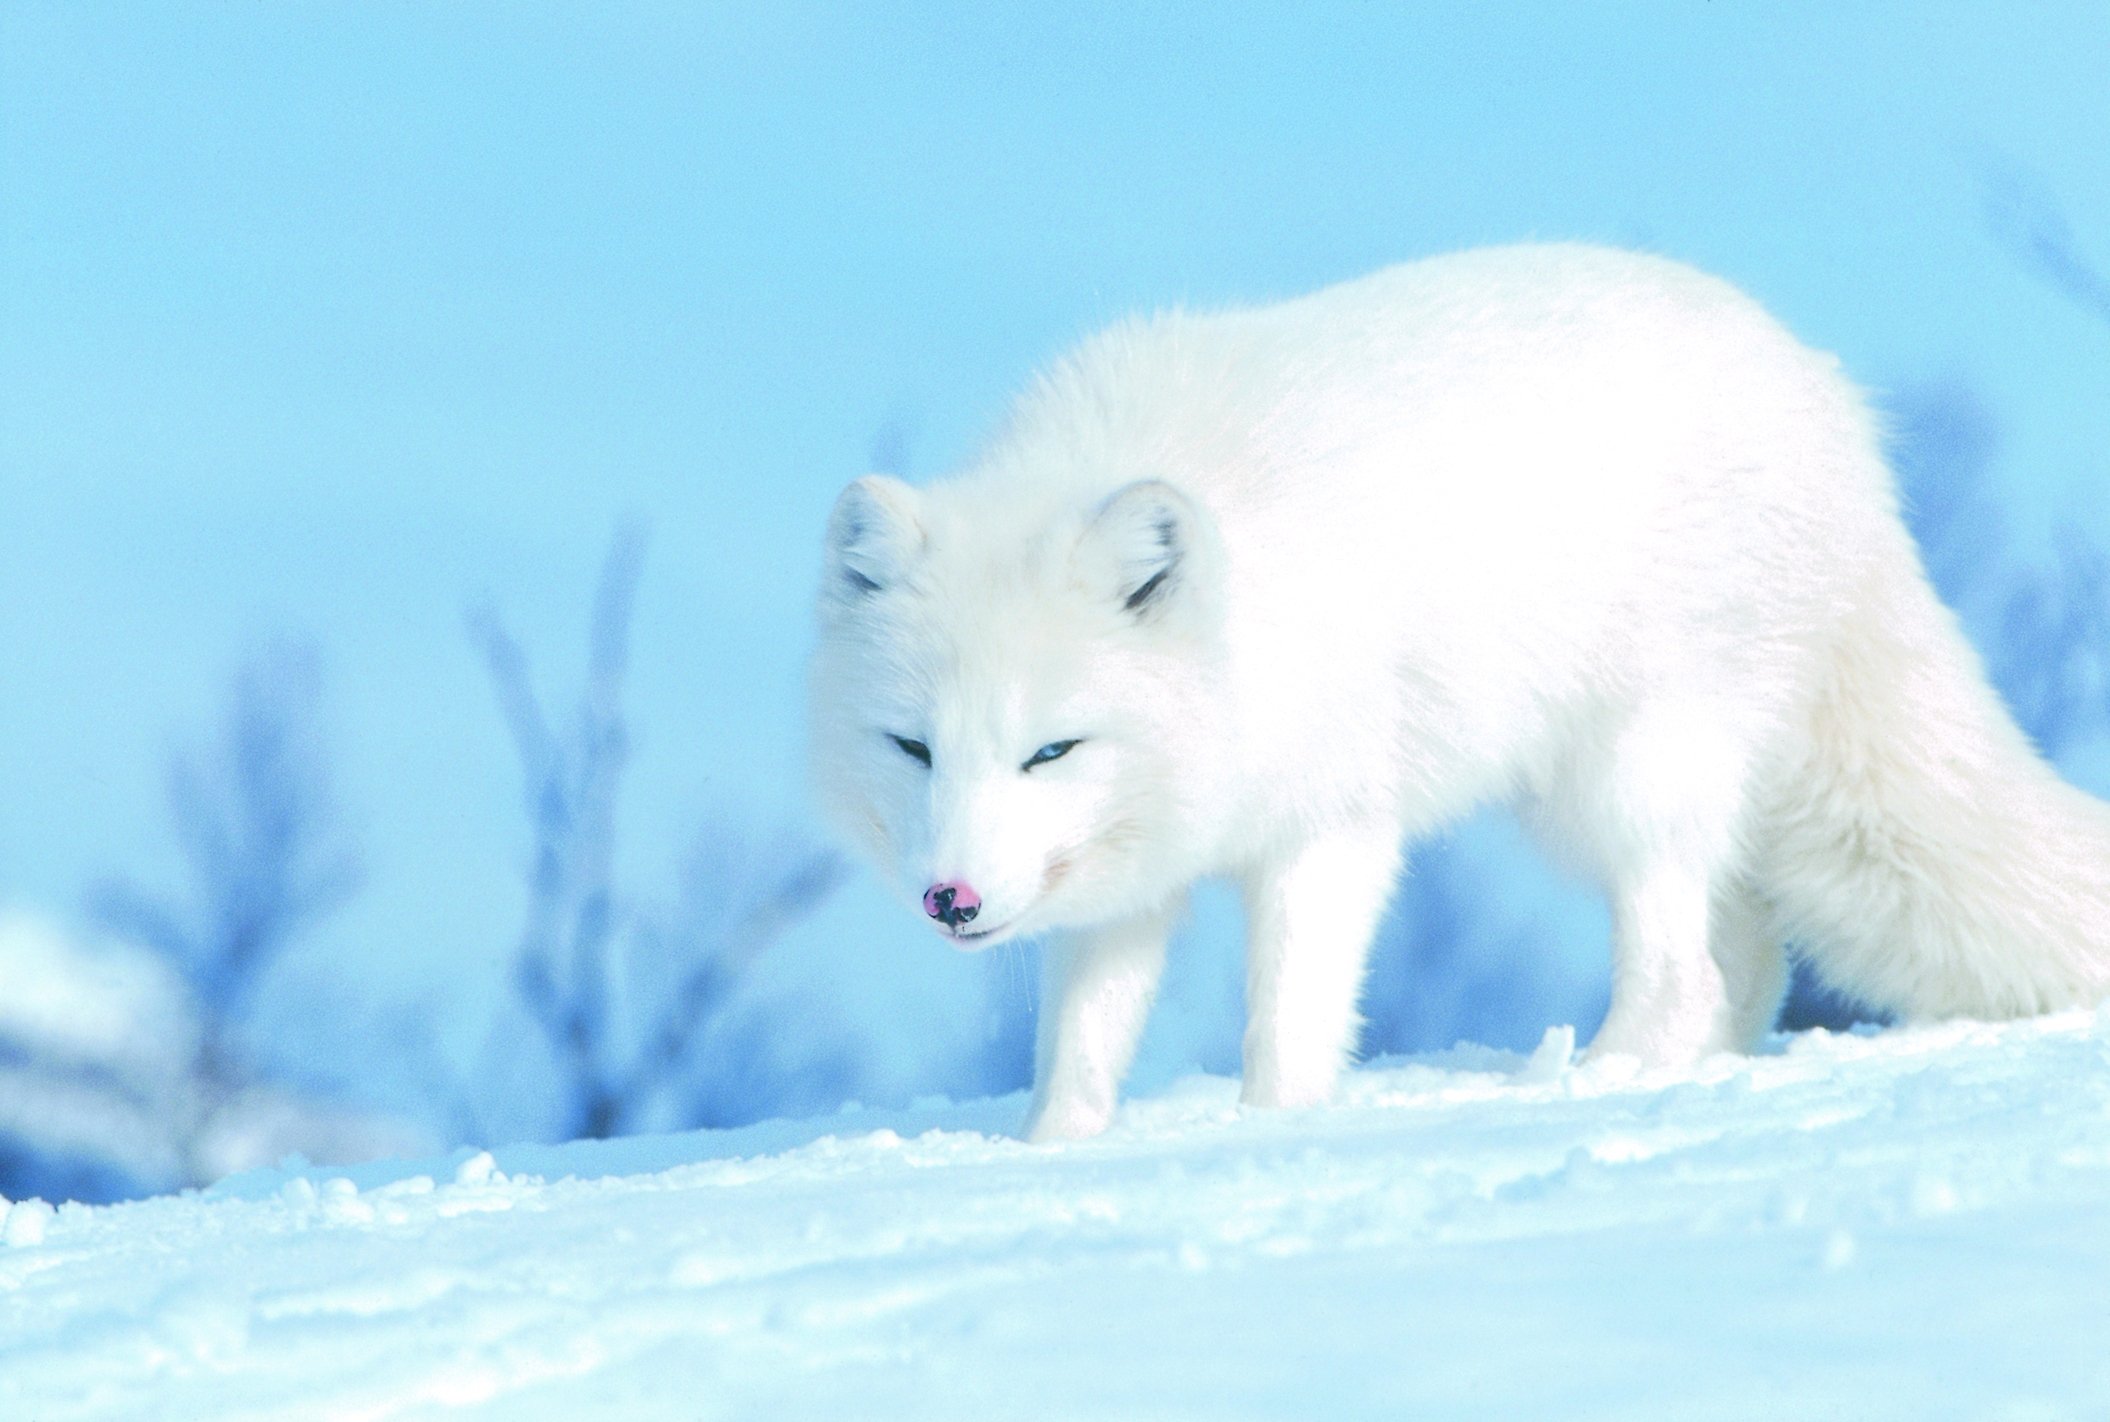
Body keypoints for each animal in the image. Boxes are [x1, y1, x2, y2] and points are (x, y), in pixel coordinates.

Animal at [801, 238, 2110, 1139]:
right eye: (913, 749)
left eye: (1048, 751)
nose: (953, 900)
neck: (1249, 625)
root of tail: (1839, 418)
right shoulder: (1129, 877)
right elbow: (1078, 1050)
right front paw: (1054, 1154)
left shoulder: (1331, 830)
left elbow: (1285, 1032)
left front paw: (1263, 1144)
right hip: (1588, 803)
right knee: (1741, 956)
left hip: (1629, 776)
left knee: (1681, 969)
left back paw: (1594, 1081)